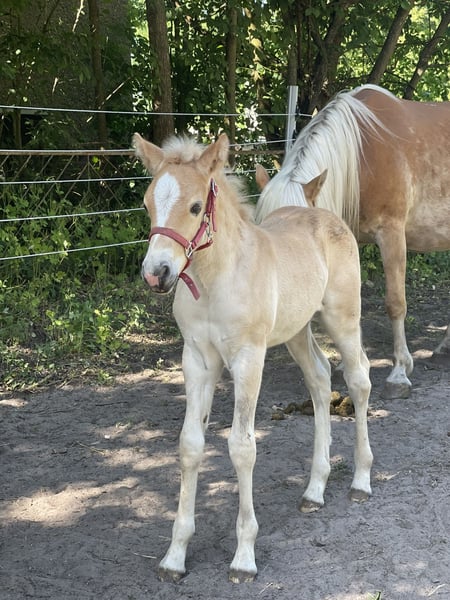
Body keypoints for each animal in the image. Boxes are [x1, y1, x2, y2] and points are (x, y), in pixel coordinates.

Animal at [134, 132, 373, 583]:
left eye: (196, 207)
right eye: (147, 202)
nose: (157, 273)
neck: (216, 279)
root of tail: (324, 214)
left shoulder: (248, 358)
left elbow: (241, 446)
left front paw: (244, 557)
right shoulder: (197, 359)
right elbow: (190, 443)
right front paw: (175, 556)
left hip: (342, 318)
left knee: (359, 379)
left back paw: (362, 480)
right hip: (297, 331)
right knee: (319, 378)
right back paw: (314, 489)